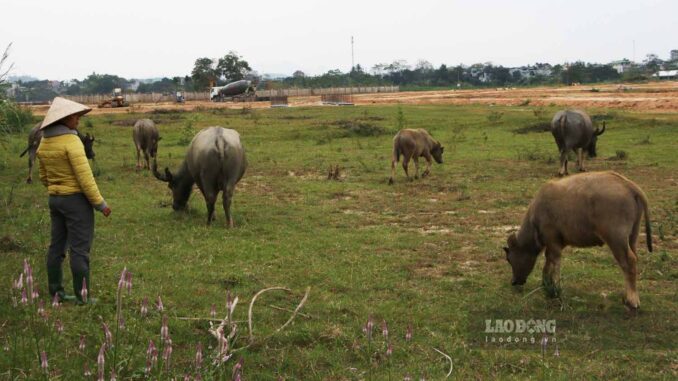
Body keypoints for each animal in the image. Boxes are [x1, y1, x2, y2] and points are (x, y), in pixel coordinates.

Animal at [504, 171, 652, 308]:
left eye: (509, 259)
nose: (513, 281)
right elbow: (548, 261)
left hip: (616, 239)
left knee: (628, 262)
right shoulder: (556, 242)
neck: (537, 213)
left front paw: (556, 289)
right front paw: (546, 283)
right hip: (632, 237)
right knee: (632, 260)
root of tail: (628, 184)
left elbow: (555, 262)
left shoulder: (553, 240)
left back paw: (632, 300)